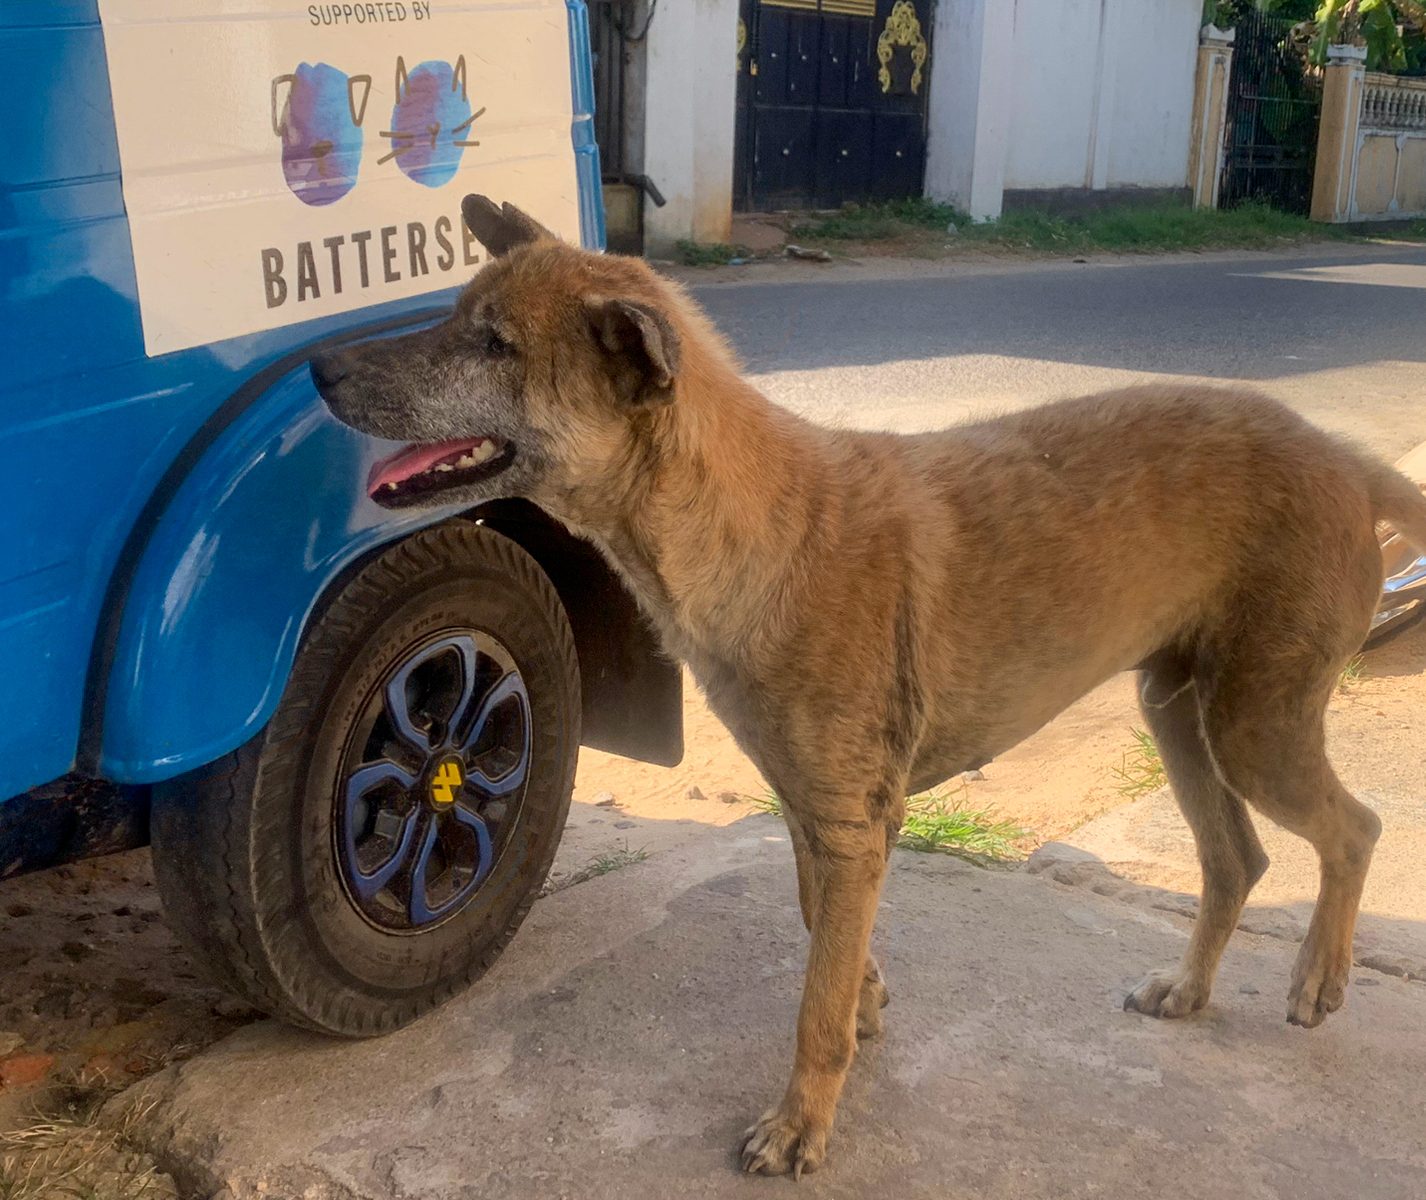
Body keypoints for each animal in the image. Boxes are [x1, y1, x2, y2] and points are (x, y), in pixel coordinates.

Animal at [317, 198, 1426, 1180]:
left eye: (493, 344)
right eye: (459, 315)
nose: (320, 368)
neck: (749, 524)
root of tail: (1349, 459)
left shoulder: (851, 822)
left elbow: (812, 1002)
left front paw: (801, 1125)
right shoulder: (815, 814)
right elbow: (824, 934)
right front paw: (868, 996)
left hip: (1253, 723)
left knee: (1353, 828)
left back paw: (1320, 977)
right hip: (1179, 711)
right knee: (1237, 859)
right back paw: (1190, 990)